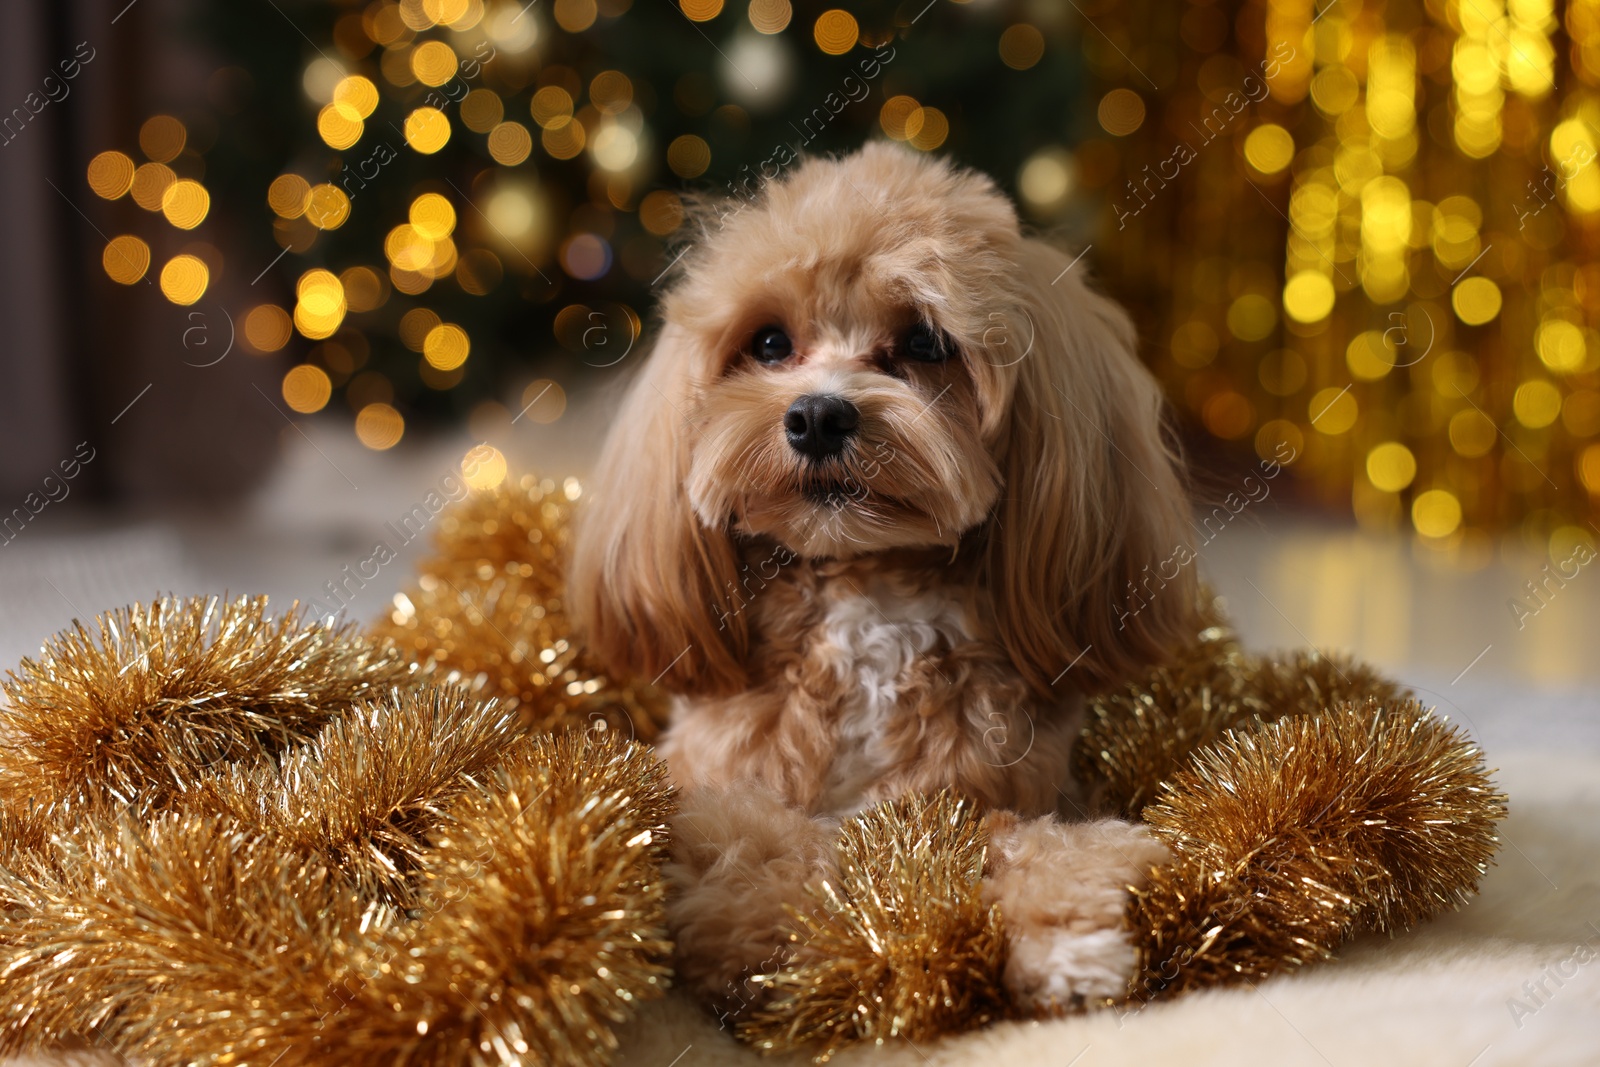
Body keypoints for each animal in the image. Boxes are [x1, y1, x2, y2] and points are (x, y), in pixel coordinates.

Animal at [569, 141, 1196, 1017]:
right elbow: (768, 842)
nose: (818, 415)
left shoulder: (994, 787)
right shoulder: (715, 783)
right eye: (769, 343)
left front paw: (1070, 936)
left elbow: (1030, 841)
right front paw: (763, 929)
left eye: (927, 343)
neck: (869, 595)